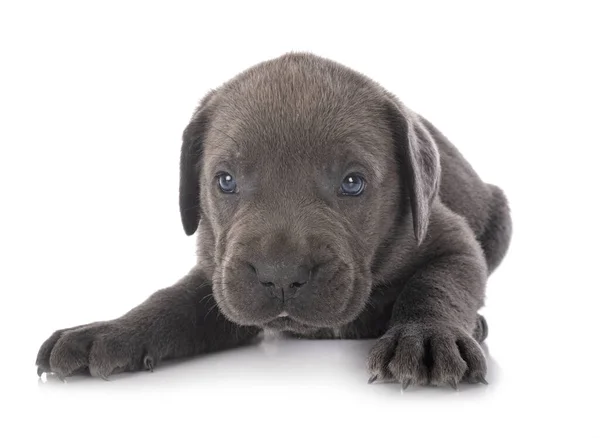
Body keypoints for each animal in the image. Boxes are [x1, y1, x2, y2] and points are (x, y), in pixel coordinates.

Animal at [36, 52, 510, 386]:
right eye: (225, 181)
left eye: (353, 183)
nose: (280, 275)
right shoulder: (217, 272)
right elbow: (172, 302)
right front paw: (110, 330)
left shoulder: (451, 241)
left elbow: (436, 285)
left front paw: (426, 336)